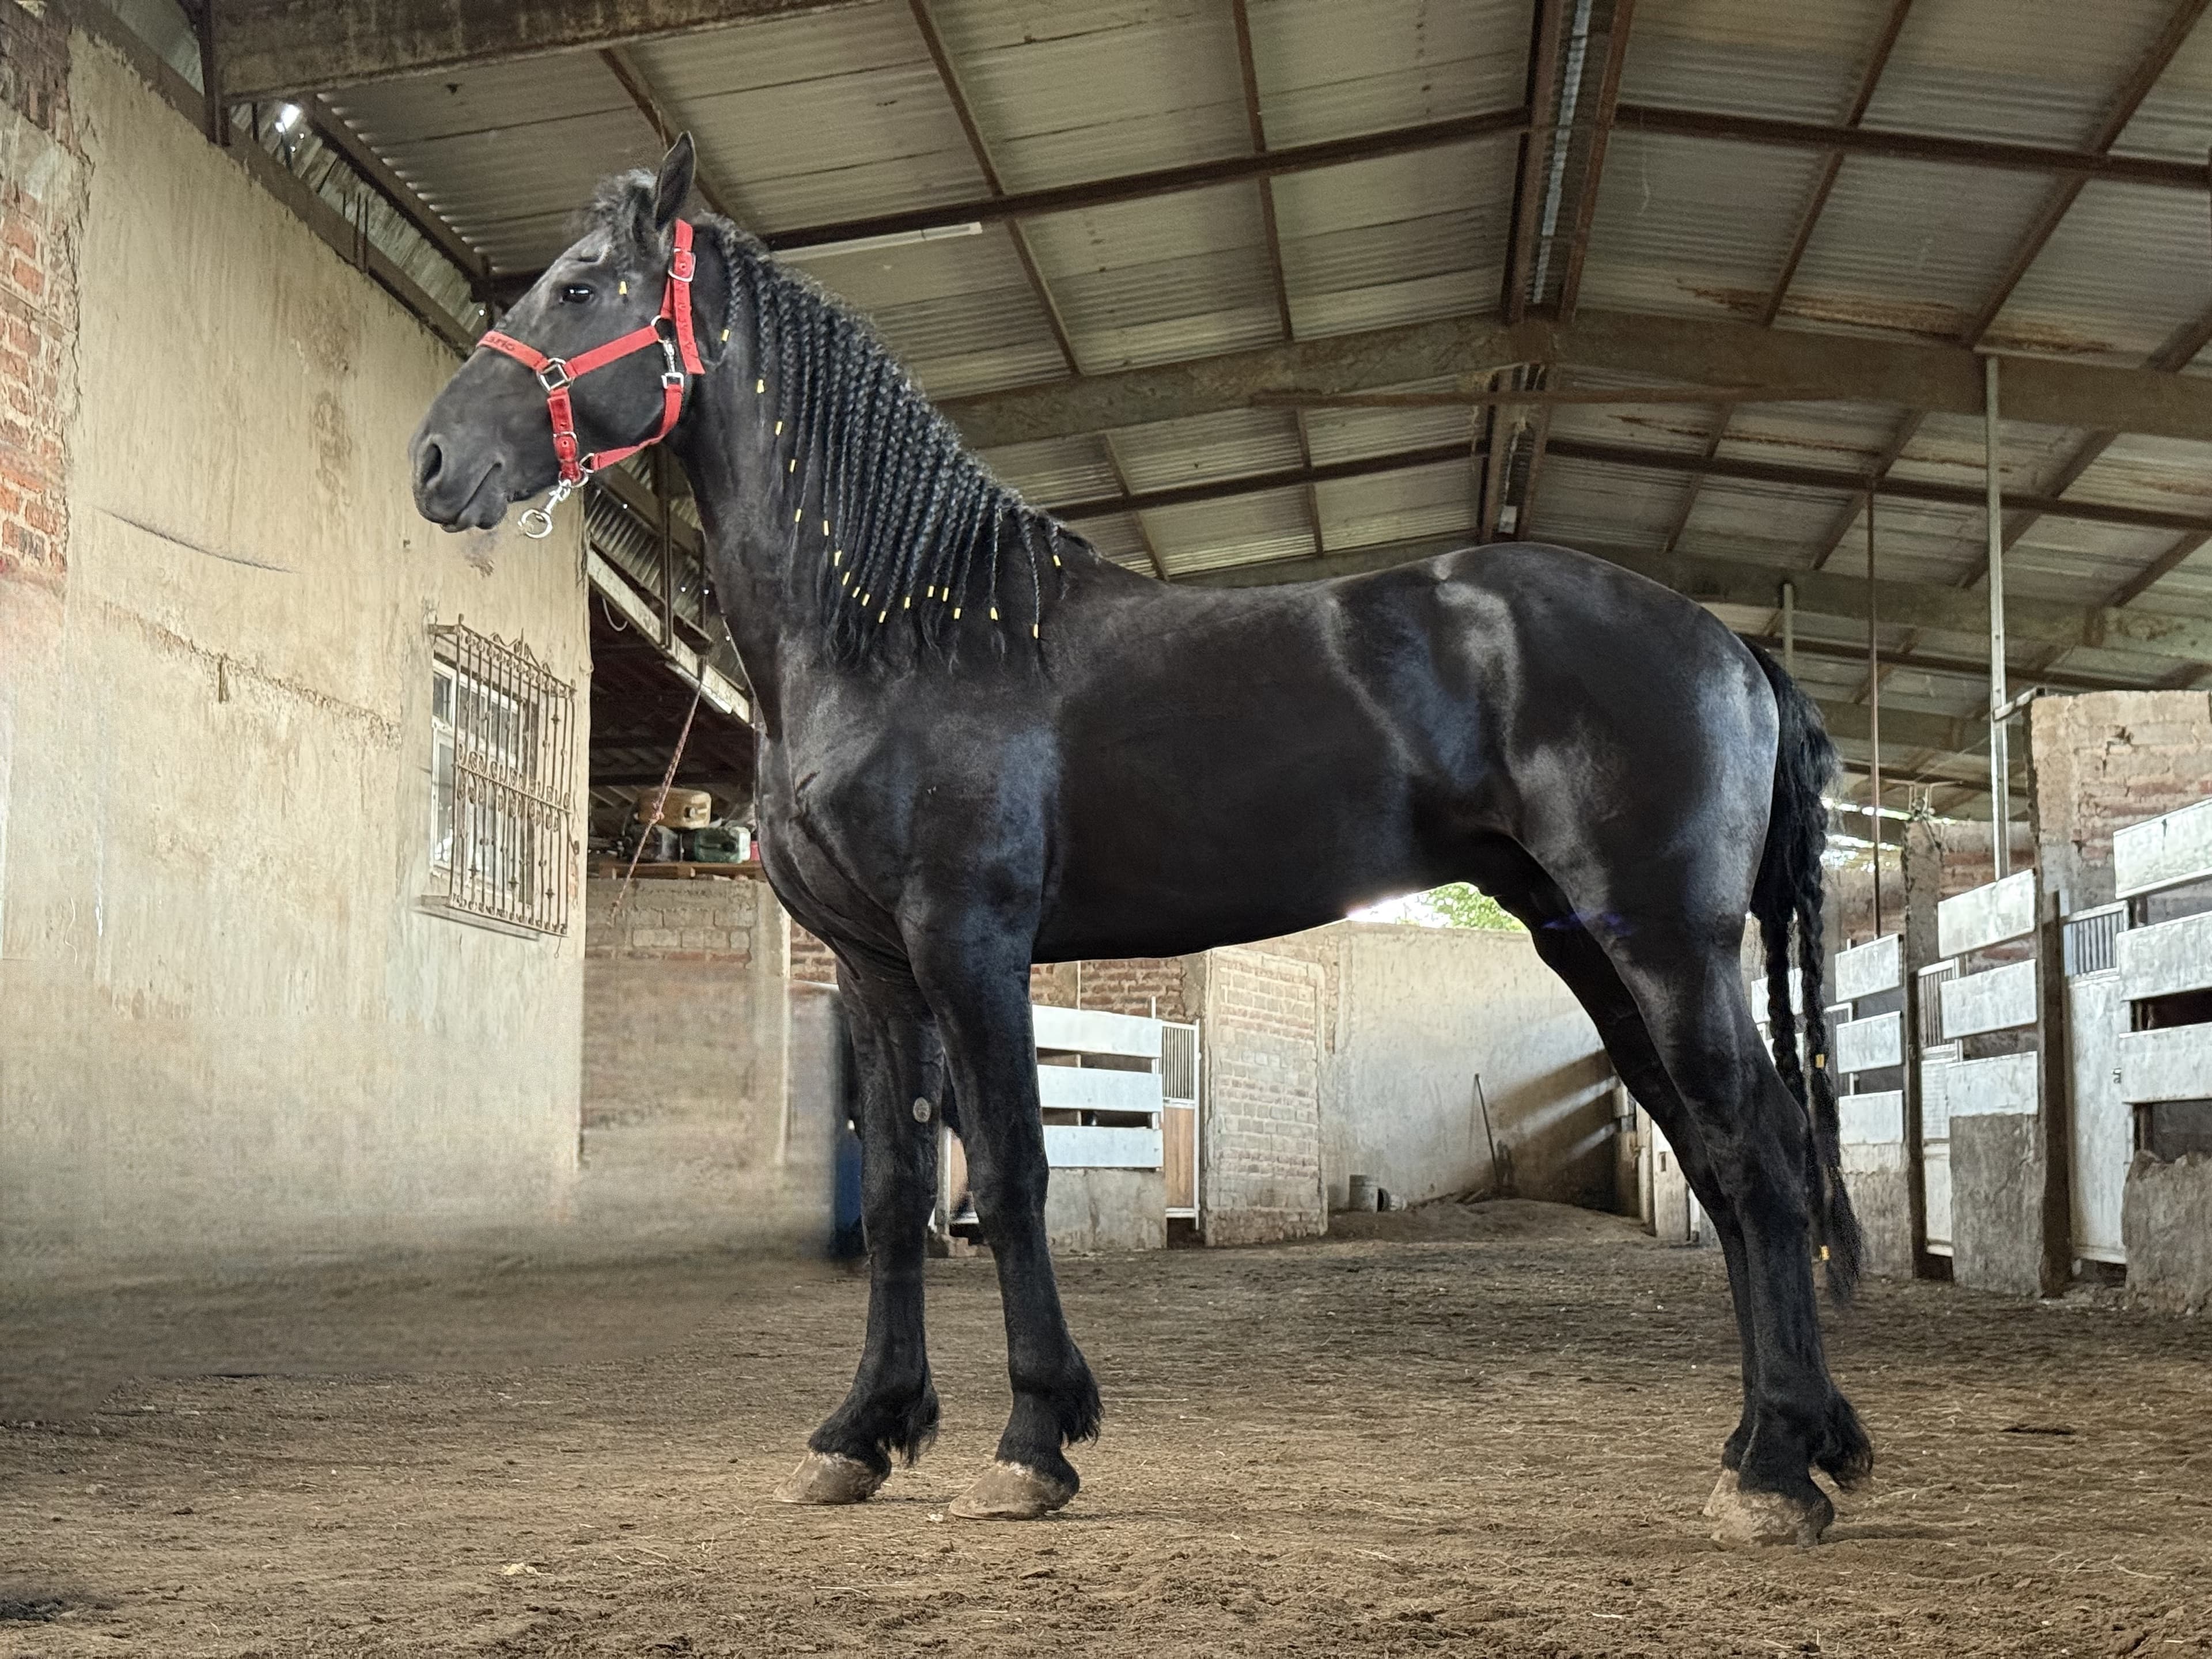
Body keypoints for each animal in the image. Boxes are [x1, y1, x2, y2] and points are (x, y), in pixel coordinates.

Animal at [409, 136, 1870, 1546]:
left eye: (582, 286)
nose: (431, 462)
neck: (902, 632)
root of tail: (1724, 640)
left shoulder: (970, 945)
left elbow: (1009, 1171)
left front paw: (1030, 1443)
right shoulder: (877, 973)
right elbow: (894, 1194)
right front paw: (860, 1434)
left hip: (1668, 942)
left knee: (1756, 1150)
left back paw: (1775, 1476)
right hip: (1589, 946)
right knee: (1716, 1159)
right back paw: (1777, 1442)